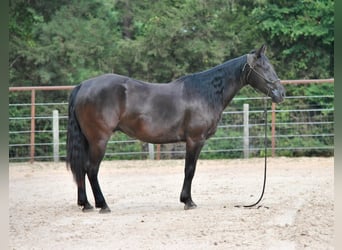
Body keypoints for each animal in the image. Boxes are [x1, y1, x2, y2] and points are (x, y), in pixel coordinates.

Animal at [67, 45, 286, 213]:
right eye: (263, 67)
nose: (281, 93)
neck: (205, 92)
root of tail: (83, 86)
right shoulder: (195, 140)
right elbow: (190, 169)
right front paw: (188, 201)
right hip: (99, 140)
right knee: (91, 169)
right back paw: (102, 205)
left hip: (88, 140)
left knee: (82, 168)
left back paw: (86, 204)